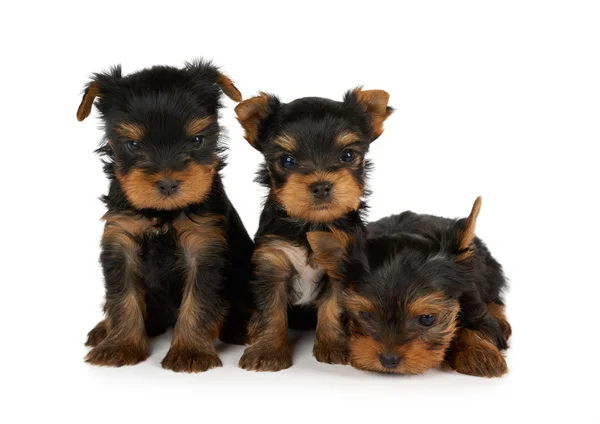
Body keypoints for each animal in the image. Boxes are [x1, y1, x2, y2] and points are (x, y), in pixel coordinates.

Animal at [78, 59, 253, 372]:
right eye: (132, 145)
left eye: (197, 140)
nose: (169, 183)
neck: (162, 214)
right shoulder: (121, 240)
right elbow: (122, 297)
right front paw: (120, 346)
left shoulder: (204, 245)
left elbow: (199, 300)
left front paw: (190, 352)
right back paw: (103, 330)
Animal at [234, 88, 394, 370]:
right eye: (287, 160)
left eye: (347, 155)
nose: (320, 185)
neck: (310, 223)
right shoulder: (272, 261)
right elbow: (270, 309)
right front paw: (267, 351)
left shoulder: (341, 265)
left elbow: (333, 306)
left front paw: (333, 347)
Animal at [310, 196, 510, 378]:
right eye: (365, 315)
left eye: (427, 319)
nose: (389, 360)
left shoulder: (471, 300)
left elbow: (478, 326)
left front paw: (479, 353)